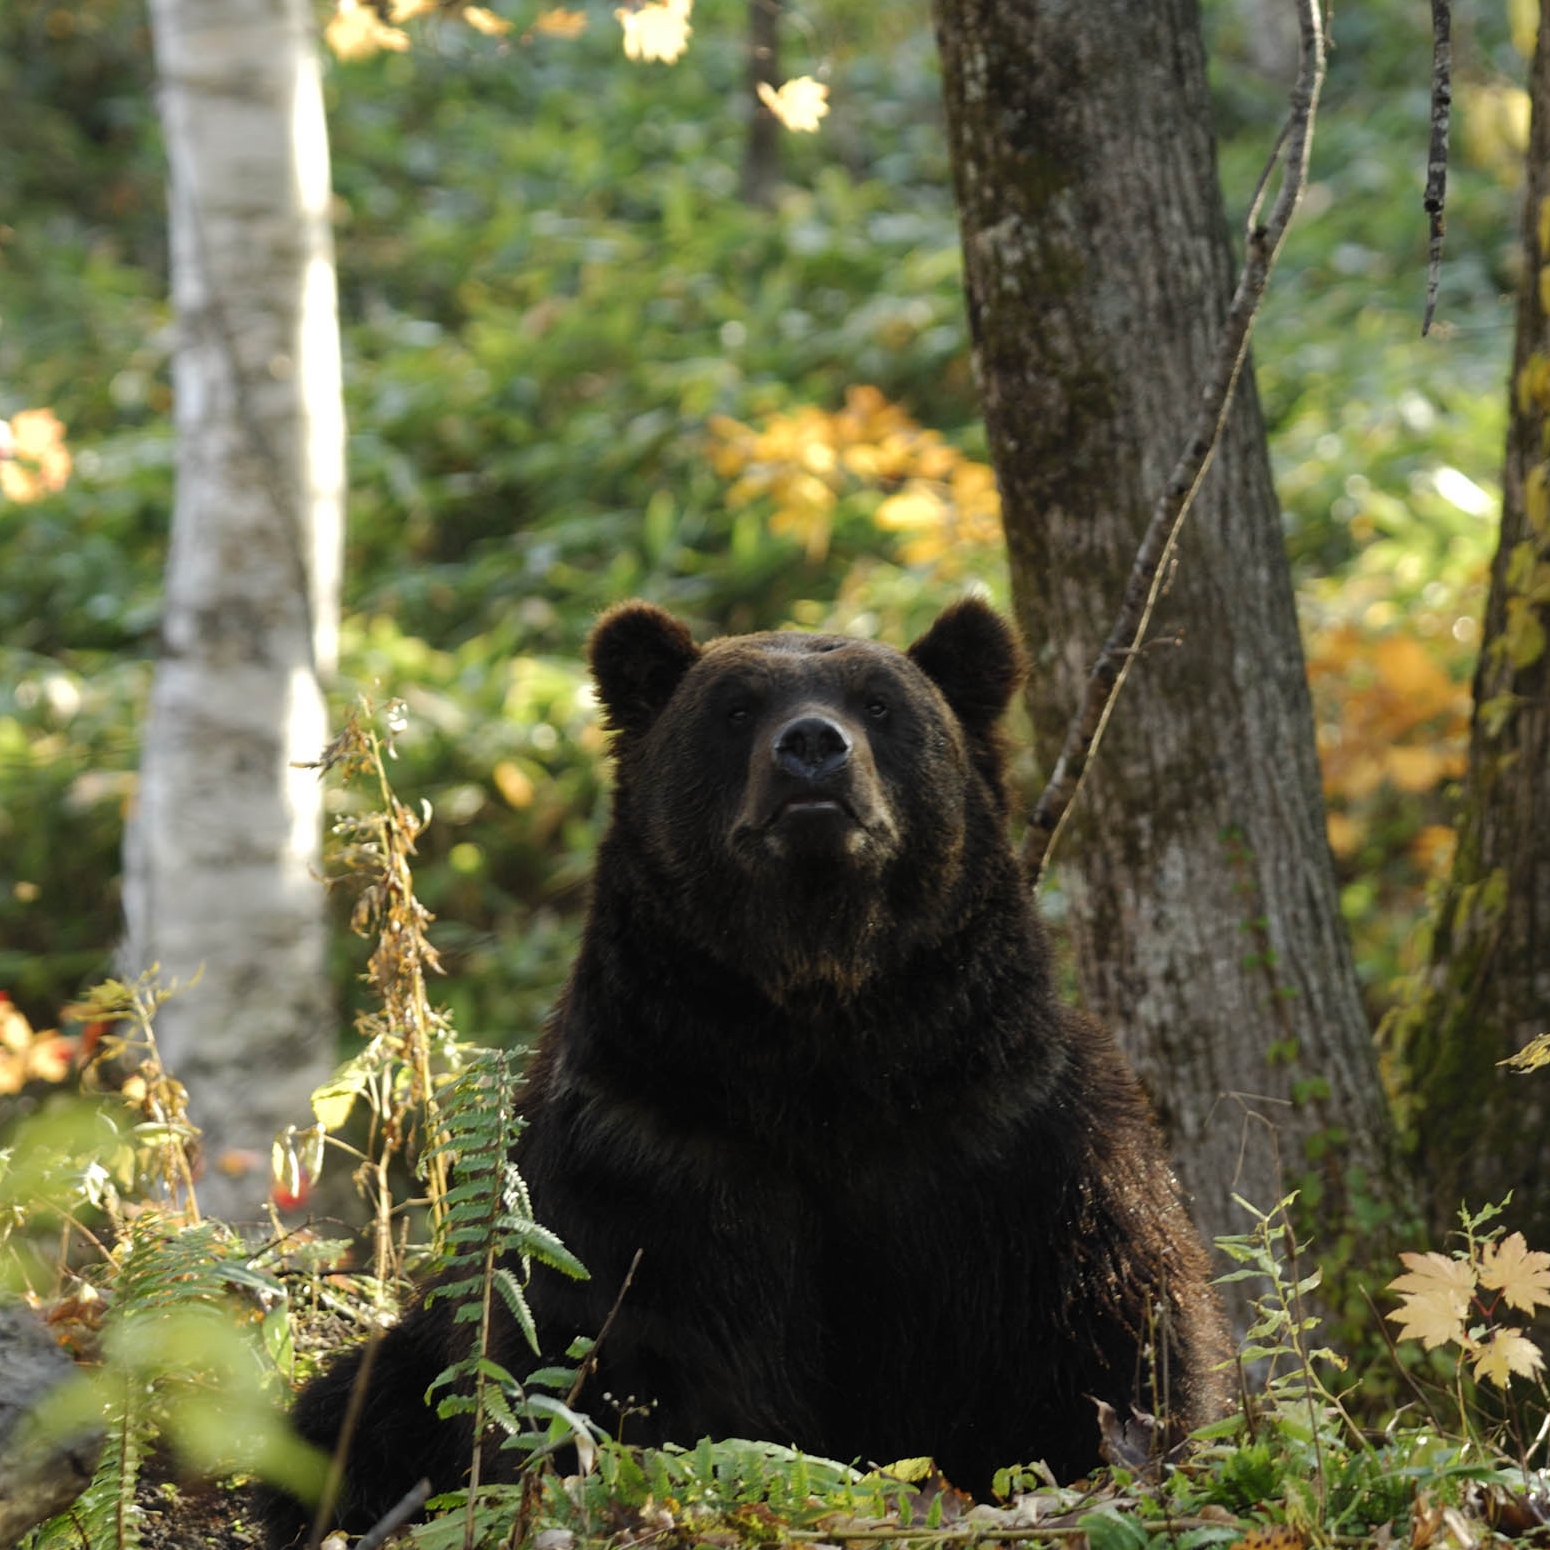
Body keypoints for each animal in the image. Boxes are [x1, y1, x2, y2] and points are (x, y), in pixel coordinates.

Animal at [260, 595, 1227, 1537]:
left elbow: (1089, 1333)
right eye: (734, 708)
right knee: (350, 1414)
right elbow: (623, 1348)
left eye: (882, 704)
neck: (817, 1036)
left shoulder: (999, 1138)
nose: (813, 747)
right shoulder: (655, 1148)